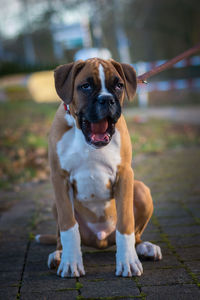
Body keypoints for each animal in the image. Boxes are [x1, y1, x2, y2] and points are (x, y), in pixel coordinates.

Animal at [35, 58, 162, 278]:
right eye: (85, 86)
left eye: (119, 85)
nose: (107, 100)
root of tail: (100, 240)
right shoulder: (59, 179)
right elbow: (68, 227)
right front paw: (70, 263)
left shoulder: (125, 175)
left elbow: (126, 224)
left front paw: (128, 262)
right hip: (54, 204)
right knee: (61, 236)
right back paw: (59, 254)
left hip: (140, 188)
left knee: (135, 235)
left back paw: (144, 247)